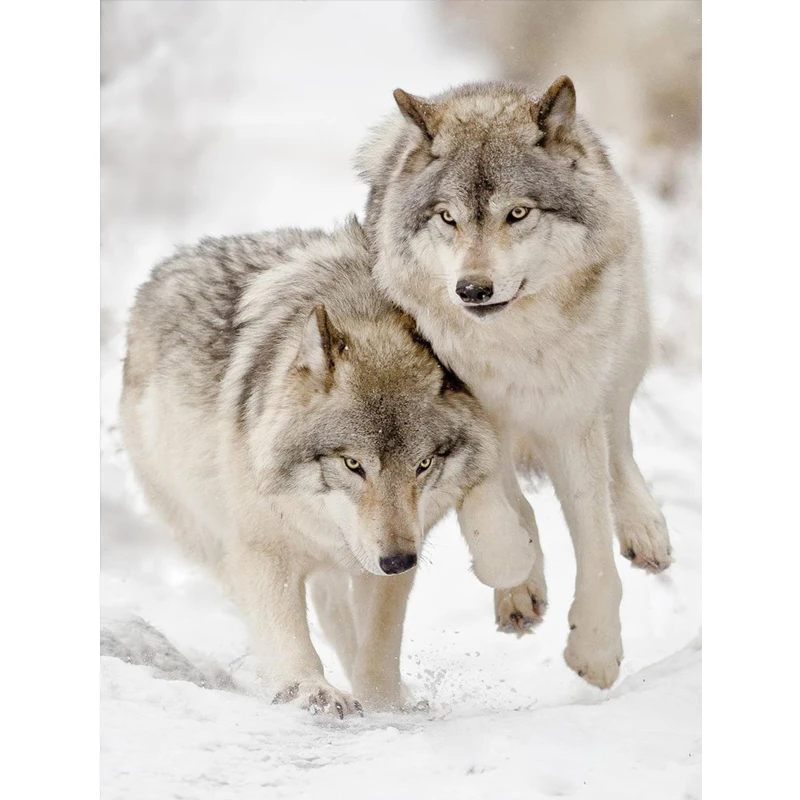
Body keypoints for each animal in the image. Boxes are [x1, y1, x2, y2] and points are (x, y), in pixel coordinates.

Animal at [120, 219, 534, 716]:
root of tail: (165, 268)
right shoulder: (263, 550)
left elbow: (378, 647)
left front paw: (384, 704)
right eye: (353, 463)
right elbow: (288, 634)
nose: (397, 560)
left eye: (423, 464)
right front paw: (310, 691)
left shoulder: (394, 555)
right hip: (210, 536)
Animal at [358, 77, 674, 689]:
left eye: (518, 213)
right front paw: (517, 577)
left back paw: (645, 529)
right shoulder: (471, 414)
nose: (472, 289)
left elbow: (594, 541)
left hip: (626, 350)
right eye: (448, 218)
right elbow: (498, 506)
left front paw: (596, 649)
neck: (514, 349)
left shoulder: (571, 417)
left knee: (620, 440)